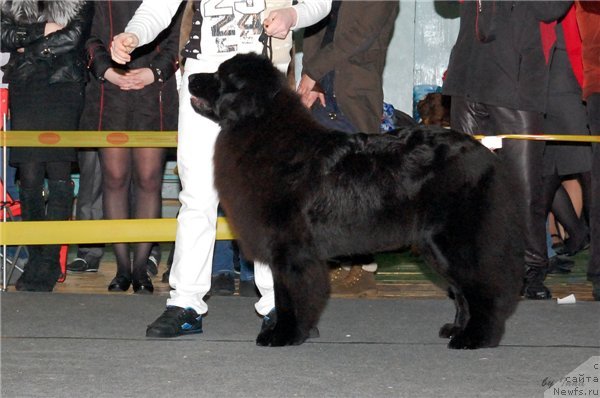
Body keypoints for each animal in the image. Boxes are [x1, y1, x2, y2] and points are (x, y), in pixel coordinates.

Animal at [190, 52, 524, 348]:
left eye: (221, 77)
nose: (191, 77)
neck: (262, 128)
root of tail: (486, 155)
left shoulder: (291, 250)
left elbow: (289, 297)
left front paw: (283, 335)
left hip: (454, 240)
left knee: (482, 288)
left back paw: (475, 338)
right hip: (435, 245)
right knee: (463, 291)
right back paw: (457, 329)